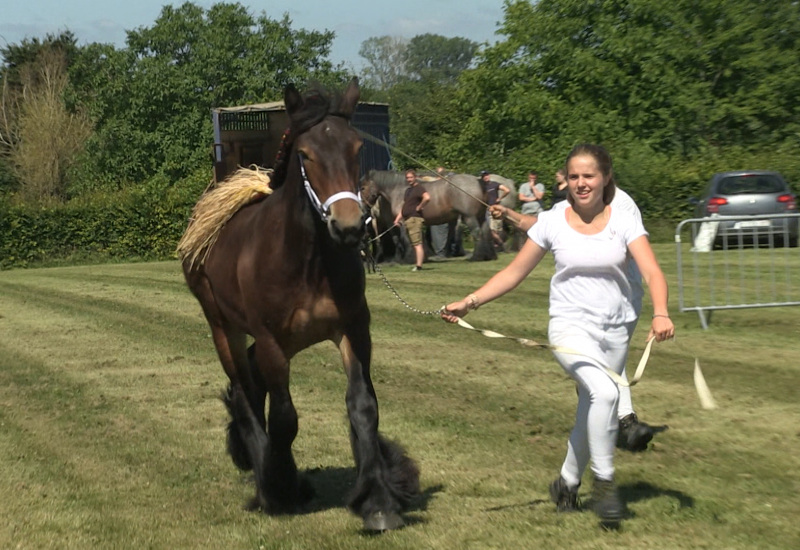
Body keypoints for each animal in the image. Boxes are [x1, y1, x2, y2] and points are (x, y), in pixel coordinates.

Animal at [180, 80, 418, 532]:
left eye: (356, 148)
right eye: (305, 154)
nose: (348, 226)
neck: (308, 259)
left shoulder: (353, 330)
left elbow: (363, 407)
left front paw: (378, 501)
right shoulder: (272, 342)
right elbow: (284, 419)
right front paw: (279, 488)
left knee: (252, 384)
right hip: (224, 329)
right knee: (245, 394)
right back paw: (266, 476)